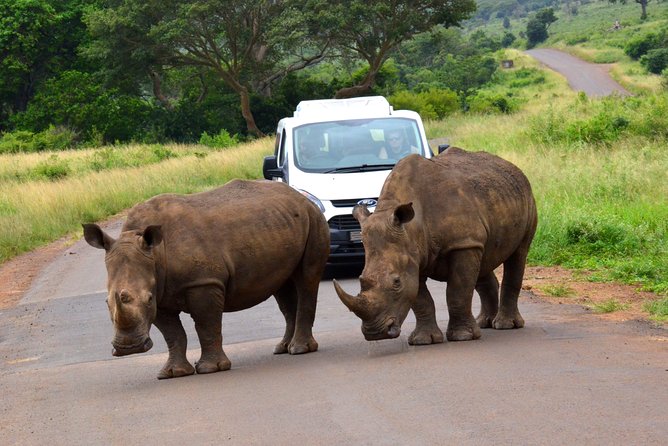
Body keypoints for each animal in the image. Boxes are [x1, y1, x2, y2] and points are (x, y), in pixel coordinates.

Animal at [83, 179, 329, 379]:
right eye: (106, 302)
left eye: (148, 298)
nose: (129, 348)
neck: (156, 254)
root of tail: (301, 196)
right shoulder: (161, 294)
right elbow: (173, 333)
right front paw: (174, 373)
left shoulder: (203, 283)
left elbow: (206, 325)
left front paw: (211, 369)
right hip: (281, 224)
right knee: (283, 289)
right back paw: (283, 348)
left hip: (314, 219)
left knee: (307, 279)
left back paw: (299, 350)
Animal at [334, 147, 537, 344]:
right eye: (361, 278)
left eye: (396, 282)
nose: (375, 333)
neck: (412, 228)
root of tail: (512, 166)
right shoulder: (415, 255)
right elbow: (421, 299)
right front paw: (424, 340)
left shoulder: (461, 244)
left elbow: (457, 292)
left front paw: (462, 337)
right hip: (487, 208)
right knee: (483, 258)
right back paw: (485, 323)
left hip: (525, 198)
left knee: (518, 254)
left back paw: (505, 325)